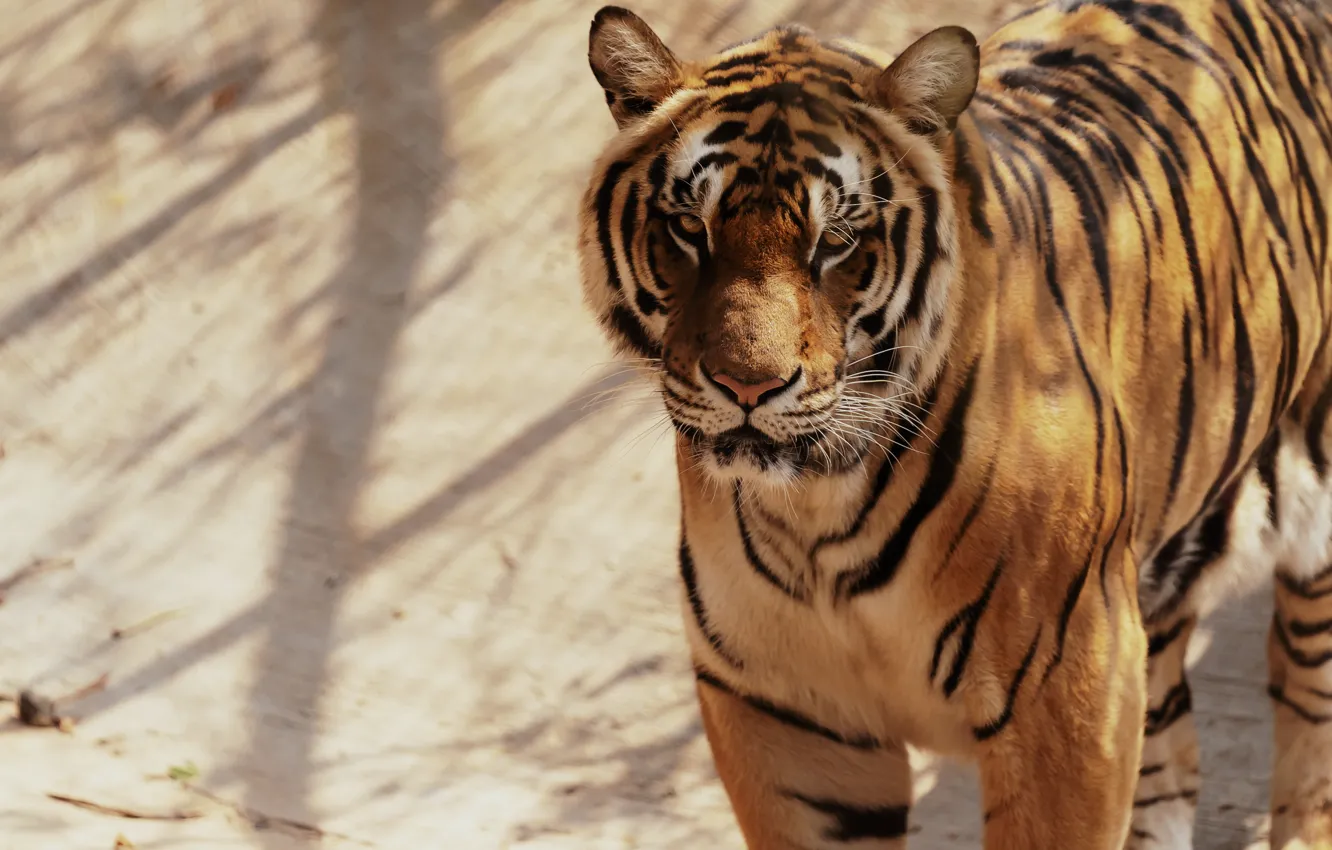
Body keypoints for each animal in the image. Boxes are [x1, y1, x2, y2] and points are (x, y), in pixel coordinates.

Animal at [575, 0, 1332, 846]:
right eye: (688, 228)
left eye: (834, 242)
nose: (749, 384)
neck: (814, 513)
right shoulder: (784, 714)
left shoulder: (1068, 695)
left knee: (1306, 695)